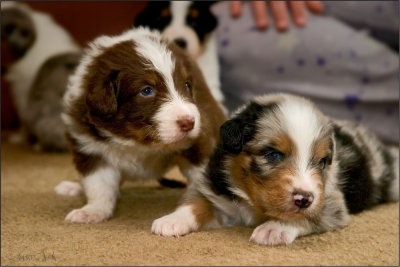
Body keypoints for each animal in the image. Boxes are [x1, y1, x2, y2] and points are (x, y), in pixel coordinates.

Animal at [54, 27, 227, 224]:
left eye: (187, 85)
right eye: (146, 91)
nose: (188, 123)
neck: (139, 142)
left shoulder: (199, 143)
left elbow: (201, 189)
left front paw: (176, 220)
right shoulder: (90, 148)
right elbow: (99, 186)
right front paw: (92, 211)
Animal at [152, 93, 398, 246]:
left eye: (321, 162)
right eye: (273, 155)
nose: (304, 198)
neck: (252, 205)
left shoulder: (332, 203)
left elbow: (306, 216)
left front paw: (275, 228)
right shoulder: (214, 185)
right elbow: (197, 203)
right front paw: (171, 220)